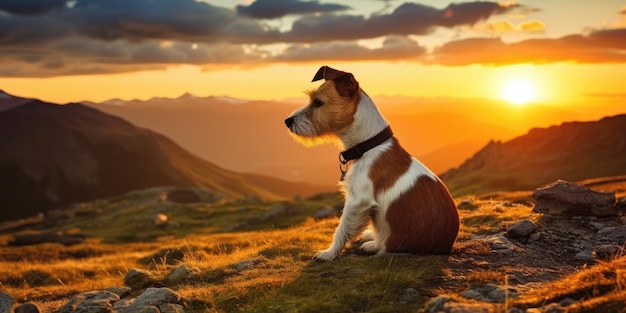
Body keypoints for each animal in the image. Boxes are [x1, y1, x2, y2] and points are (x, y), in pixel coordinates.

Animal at [284, 66, 458, 260]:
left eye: (319, 102)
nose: (287, 121)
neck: (368, 145)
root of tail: (446, 246)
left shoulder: (358, 201)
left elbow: (342, 229)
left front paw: (329, 253)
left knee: (383, 244)